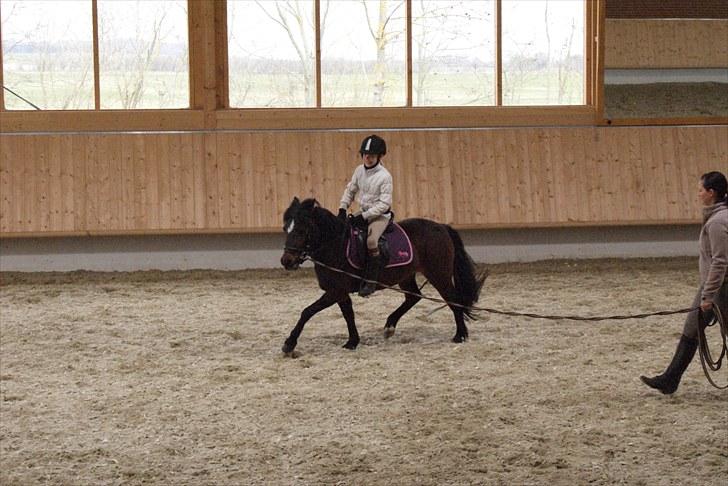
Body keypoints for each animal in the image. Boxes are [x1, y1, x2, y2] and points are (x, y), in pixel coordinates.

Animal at [279, 197, 488, 354]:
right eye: (285, 229)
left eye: (301, 230)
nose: (286, 261)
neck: (335, 244)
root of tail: (442, 227)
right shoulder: (339, 292)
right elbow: (348, 314)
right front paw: (352, 342)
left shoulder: (335, 291)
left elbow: (308, 311)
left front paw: (289, 344)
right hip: (406, 275)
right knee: (413, 297)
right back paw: (389, 327)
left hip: (439, 274)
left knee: (453, 300)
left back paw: (460, 335)